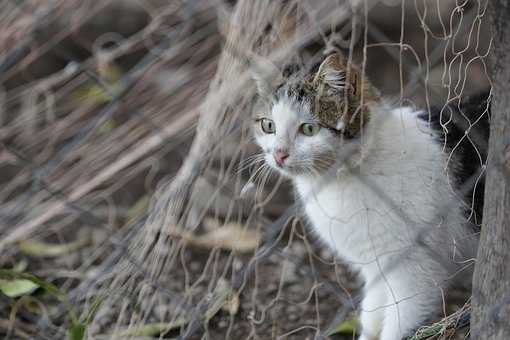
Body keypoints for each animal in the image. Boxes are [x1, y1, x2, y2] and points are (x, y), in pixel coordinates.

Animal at [251, 51, 482, 338]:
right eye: (268, 125)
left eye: (308, 129)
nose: (279, 154)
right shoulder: (375, 267)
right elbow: (372, 312)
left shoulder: (414, 272)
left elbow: (397, 324)